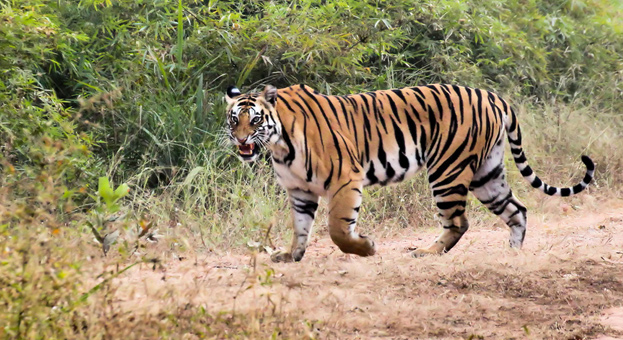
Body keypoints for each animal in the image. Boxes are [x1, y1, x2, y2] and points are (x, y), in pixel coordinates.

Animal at [224, 83, 596, 262]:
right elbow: (300, 227)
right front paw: (291, 255)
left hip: (448, 170)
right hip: (486, 174)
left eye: (254, 120)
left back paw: (426, 253)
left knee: (458, 221)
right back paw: (512, 252)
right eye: (233, 119)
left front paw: (367, 248)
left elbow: (337, 229)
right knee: (517, 209)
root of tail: (492, 96)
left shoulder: (346, 179)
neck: (280, 145)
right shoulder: (299, 191)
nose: (240, 139)